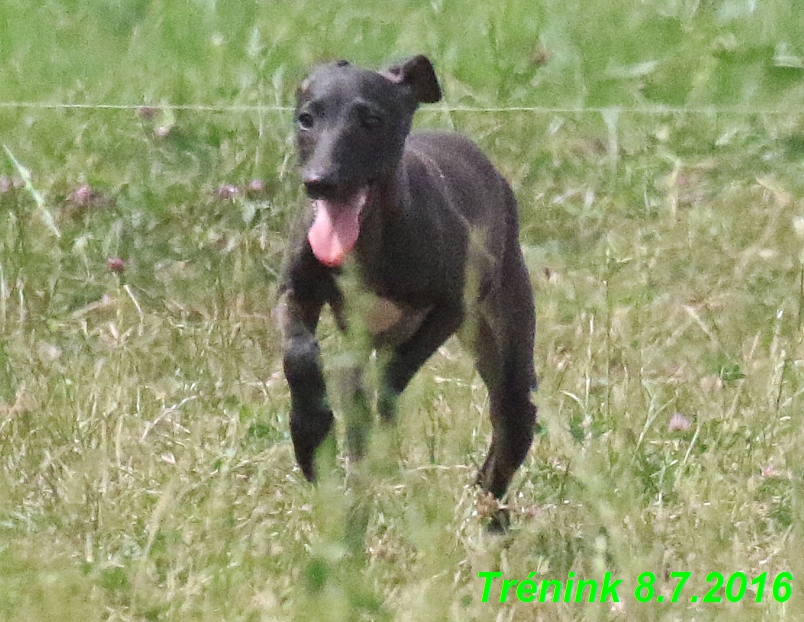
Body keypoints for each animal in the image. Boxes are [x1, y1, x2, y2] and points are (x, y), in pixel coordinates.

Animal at [278, 56, 540, 528]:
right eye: (306, 119)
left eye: (371, 120)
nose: (319, 181)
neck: (367, 240)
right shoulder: (297, 293)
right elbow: (299, 354)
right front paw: (309, 434)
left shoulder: (450, 306)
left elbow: (394, 375)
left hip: (503, 328)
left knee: (511, 417)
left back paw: (492, 509)